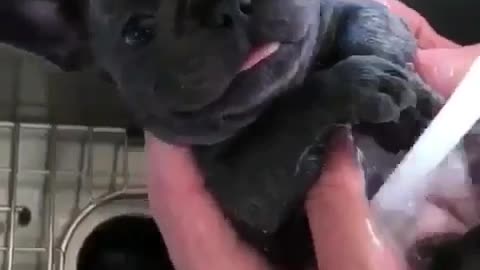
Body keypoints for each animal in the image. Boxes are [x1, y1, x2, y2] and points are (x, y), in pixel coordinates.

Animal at [0, 0, 442, 266]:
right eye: (137, 32)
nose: (225, 6)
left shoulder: (370, 12)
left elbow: (369, 25)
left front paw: (413, 106)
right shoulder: (248, 189)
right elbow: (288, 119)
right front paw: (359, 85)